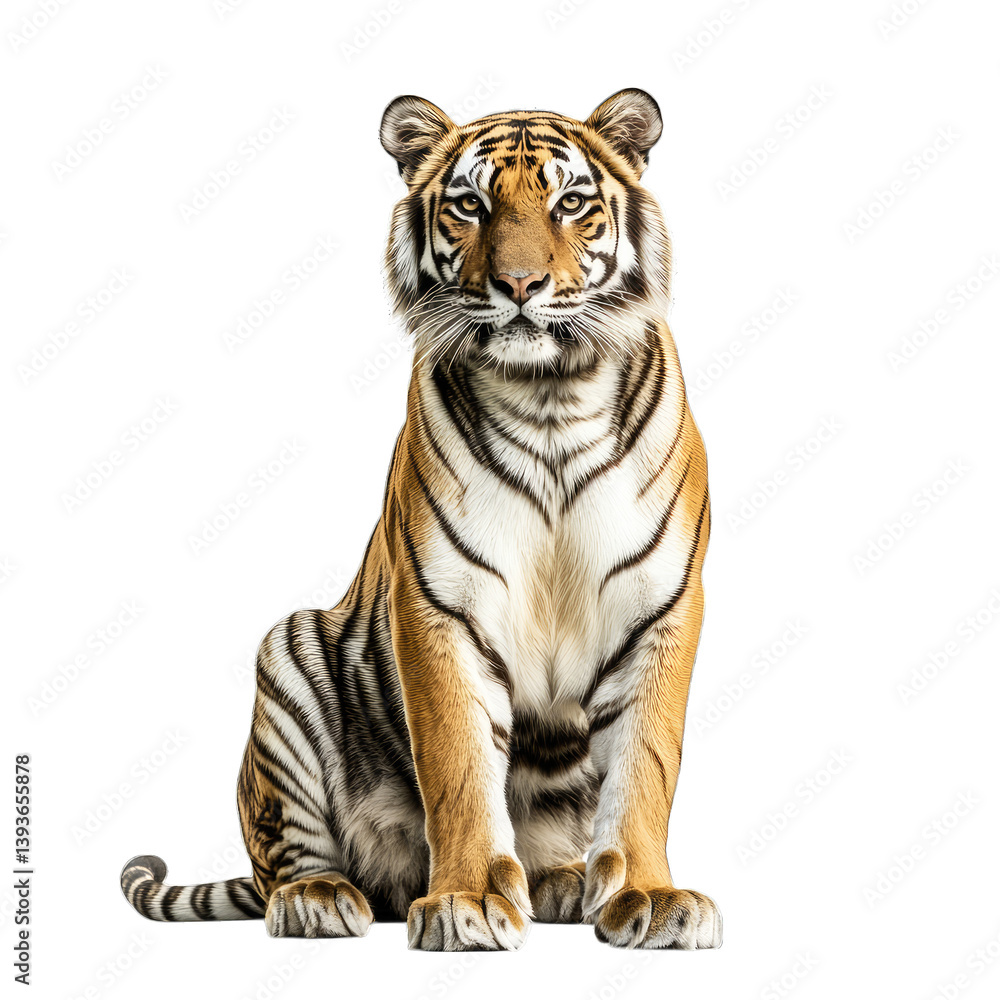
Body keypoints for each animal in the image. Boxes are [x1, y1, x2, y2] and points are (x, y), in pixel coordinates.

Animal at [120, 88, 722, 951]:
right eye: (471, 206)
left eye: (571, 204)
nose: (520, 283)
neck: (550, 399)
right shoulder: (438, 604)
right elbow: (459, 765)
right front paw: (466, 902)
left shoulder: (661, 604)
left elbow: (645, 763)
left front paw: (650, 897)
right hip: (288, 659)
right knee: (285, 866)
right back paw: (321, 899)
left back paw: (562, 881)